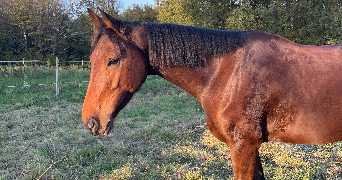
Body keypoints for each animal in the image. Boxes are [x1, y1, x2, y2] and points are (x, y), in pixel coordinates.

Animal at [82, 8, 342, 180]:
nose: (91, 122)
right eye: (92, 60)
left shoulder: (243, 146)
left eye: (113, 60)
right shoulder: (250, 148)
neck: (227, 71)